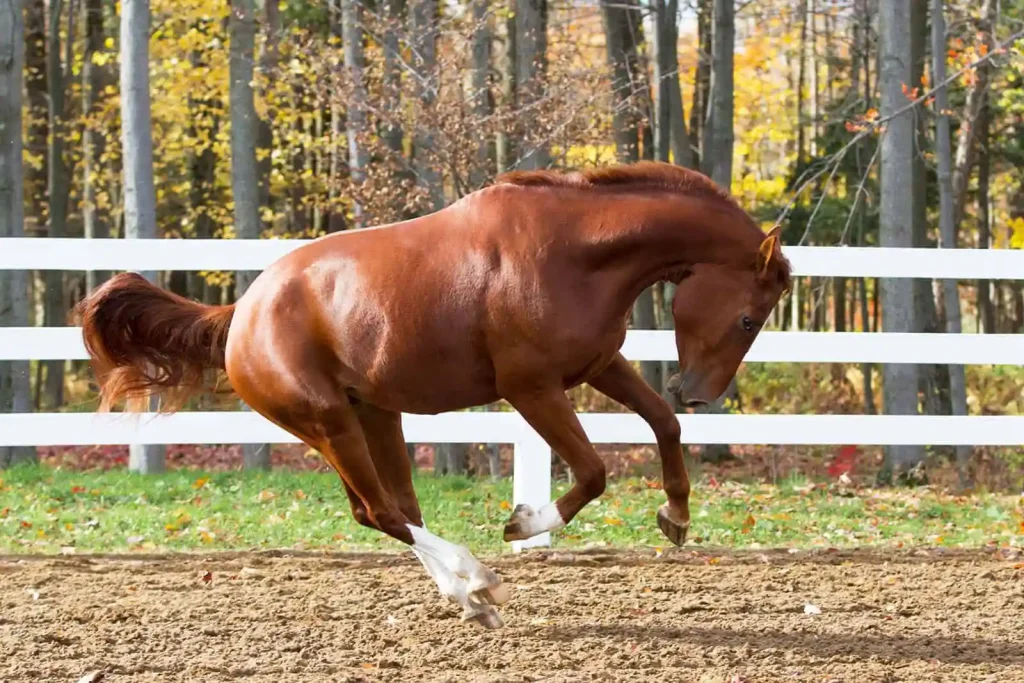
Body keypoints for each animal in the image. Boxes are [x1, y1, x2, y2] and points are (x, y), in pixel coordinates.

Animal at [74, 161, 790, 630]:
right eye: (749, 318)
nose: (698, 392)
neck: (576, 253)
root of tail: (239, 314)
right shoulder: (531, 388)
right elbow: (592, 472)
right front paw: (523, 523)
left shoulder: (598, 364)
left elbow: (662, 423)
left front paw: (675, 517)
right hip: (326, 423)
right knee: (381, 512)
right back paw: (478, 581)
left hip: (375, 414)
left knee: (389, 510)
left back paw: (469, 596)